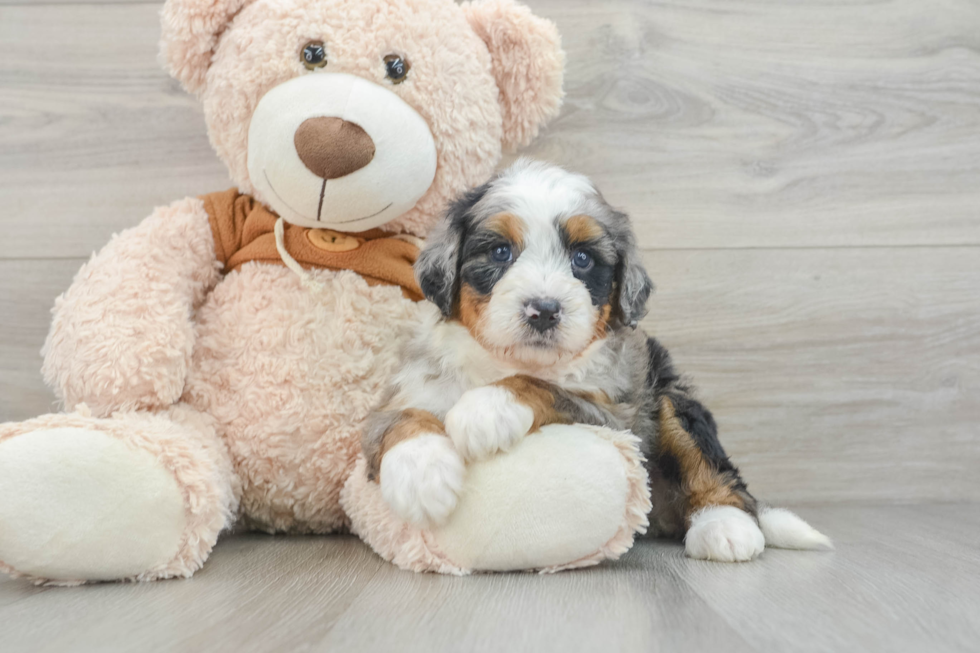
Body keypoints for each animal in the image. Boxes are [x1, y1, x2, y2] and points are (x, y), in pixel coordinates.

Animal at [364, 160, 832, 564]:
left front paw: (485, 410)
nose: (544, 310)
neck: (502, 362)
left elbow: (544, 387)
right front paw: (421, 477)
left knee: (718, 475)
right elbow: (400, 420)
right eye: (500, 252)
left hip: (671, 400)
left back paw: (726, 528)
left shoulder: (614, 415)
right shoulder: (408, 388)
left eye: (582, 259)